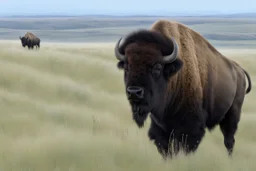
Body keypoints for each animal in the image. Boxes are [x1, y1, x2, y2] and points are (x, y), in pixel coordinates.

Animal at [114, 20, 252, 159]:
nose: (134, 92)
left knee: (229, 139)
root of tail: (239, 69)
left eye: (157, 67)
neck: (174, 76)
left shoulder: (190, 127)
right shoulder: (161, 127)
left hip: (233, 113)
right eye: (126, 67)